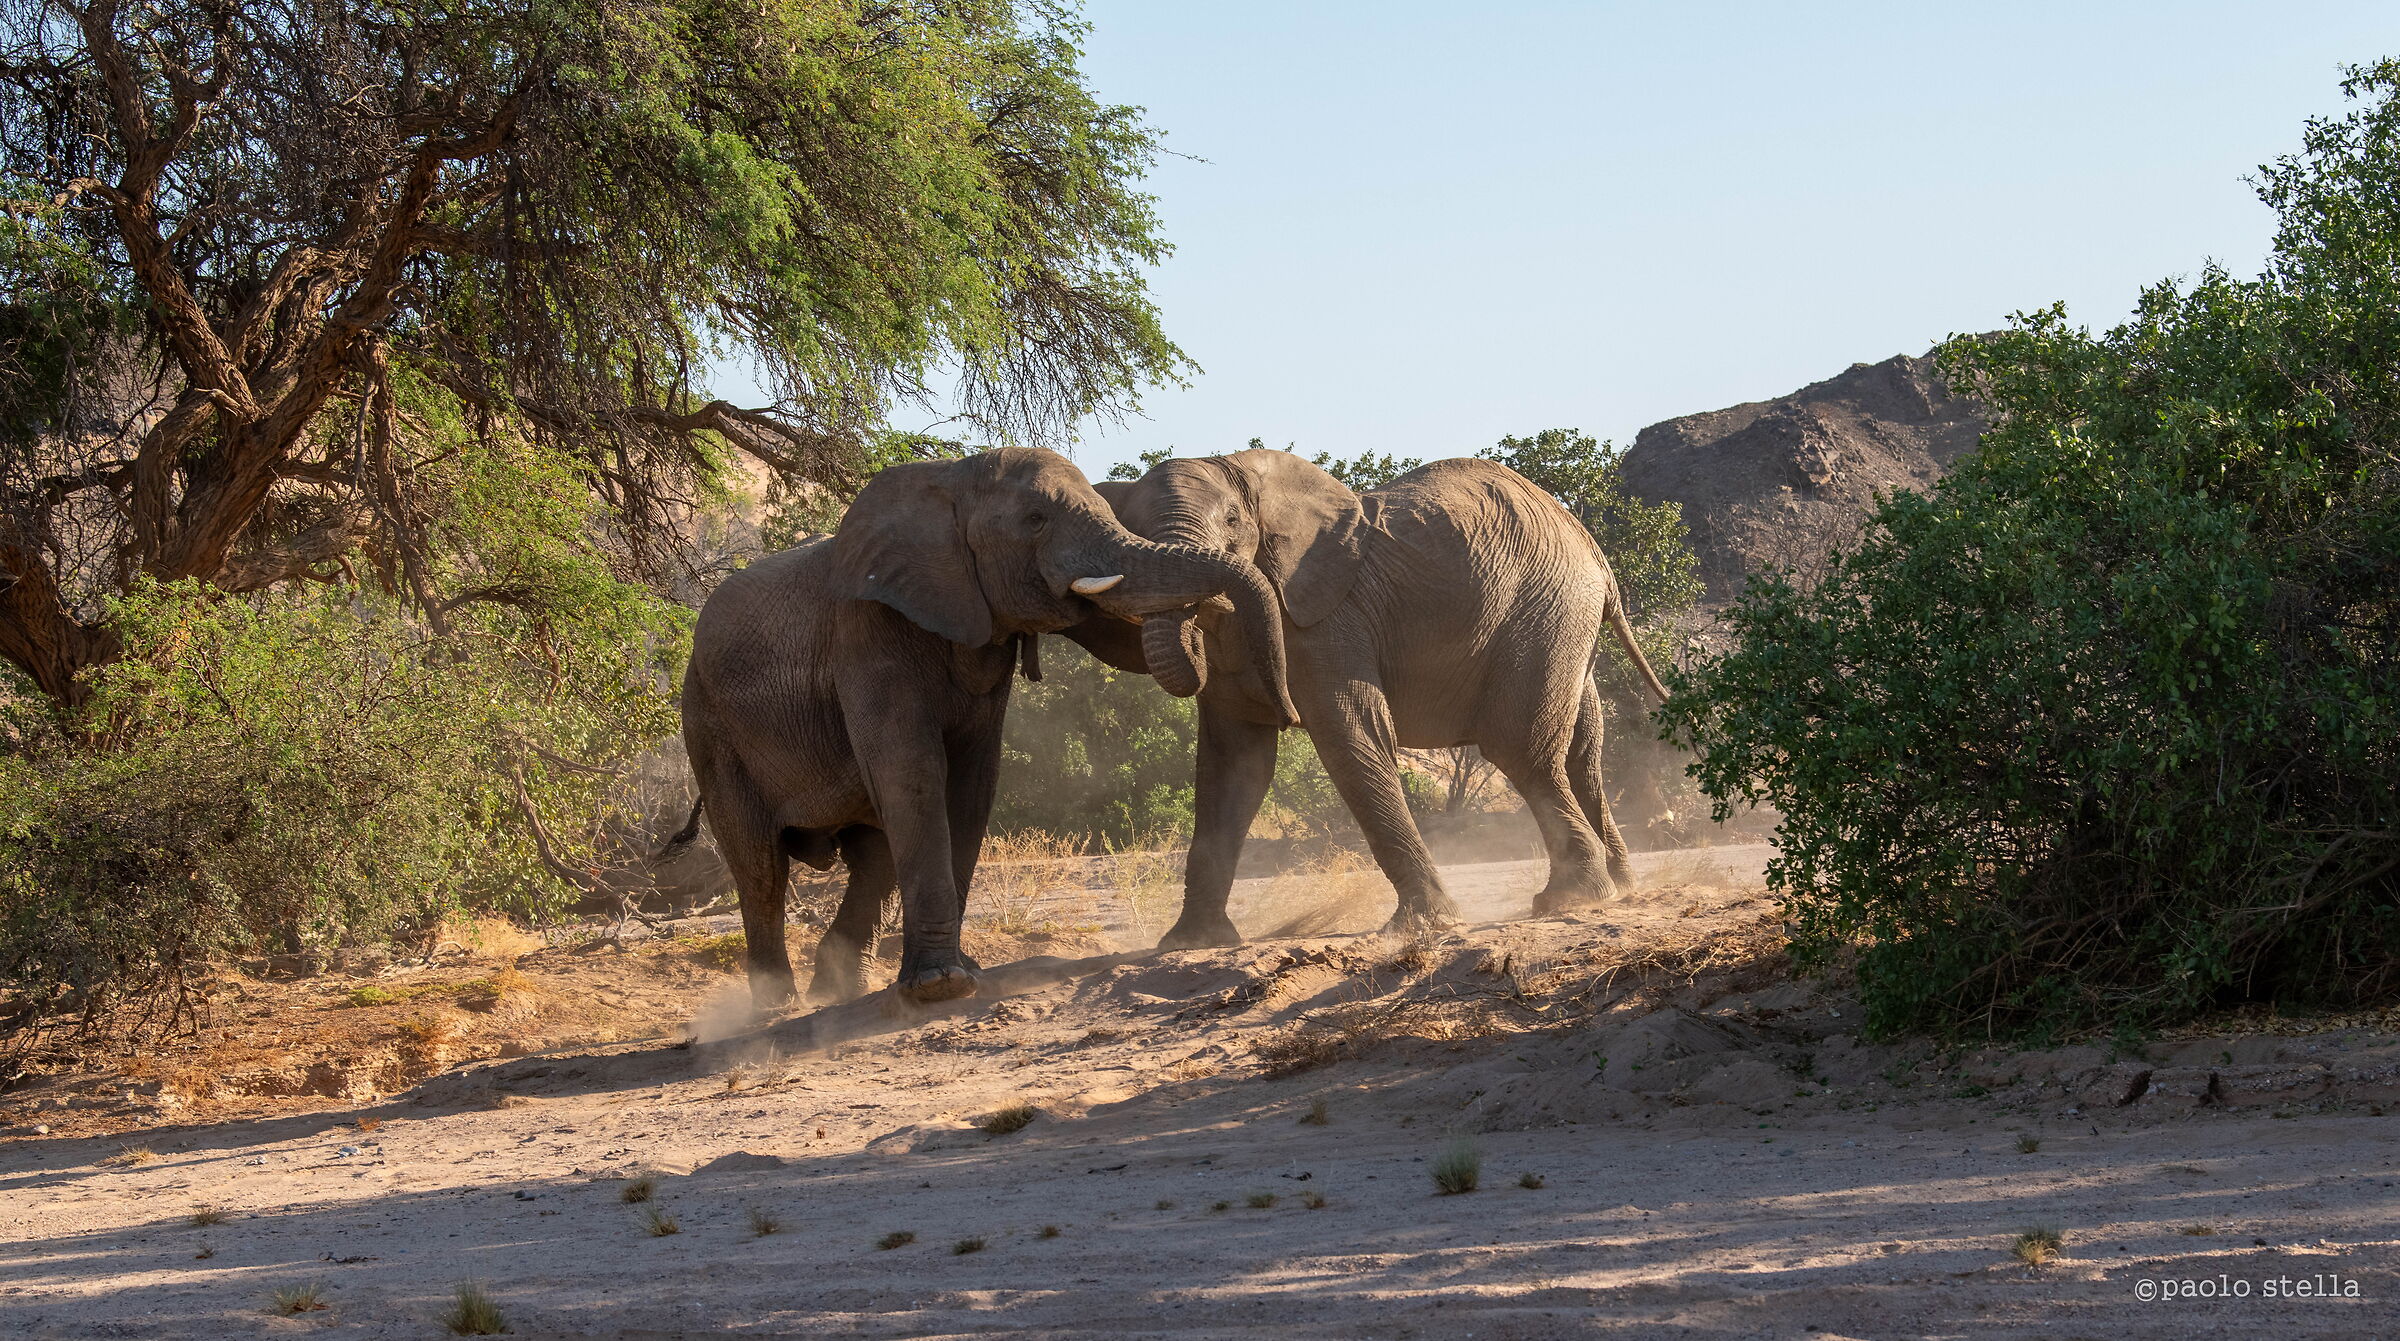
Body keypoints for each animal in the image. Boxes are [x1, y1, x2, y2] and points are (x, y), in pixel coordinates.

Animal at [673, 447, 1298, 1009]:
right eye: (1036, 520)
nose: (1289, 714)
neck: (950, 482)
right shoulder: (865, 633)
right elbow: (913, 774)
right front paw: (940, 988)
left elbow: (970, 784)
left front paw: (960, 974)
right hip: (708, 723)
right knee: (760, 865)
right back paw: (773, 1007)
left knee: (870, 858)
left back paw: (838, 990)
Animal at [1087, 449, 1669, 947]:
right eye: (1131, 533)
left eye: (1233, 521)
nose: (1284, 706)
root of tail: (1595, 553)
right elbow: (1233, 769)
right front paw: (1190, 943)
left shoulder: (1327, 620)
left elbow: (1350, 736)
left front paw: (1427, 925)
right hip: (1568, 626)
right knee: (1582, 757)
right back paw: (1620, 889)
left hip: (1547, 611)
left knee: (1522, 752)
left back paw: (1571, 900)